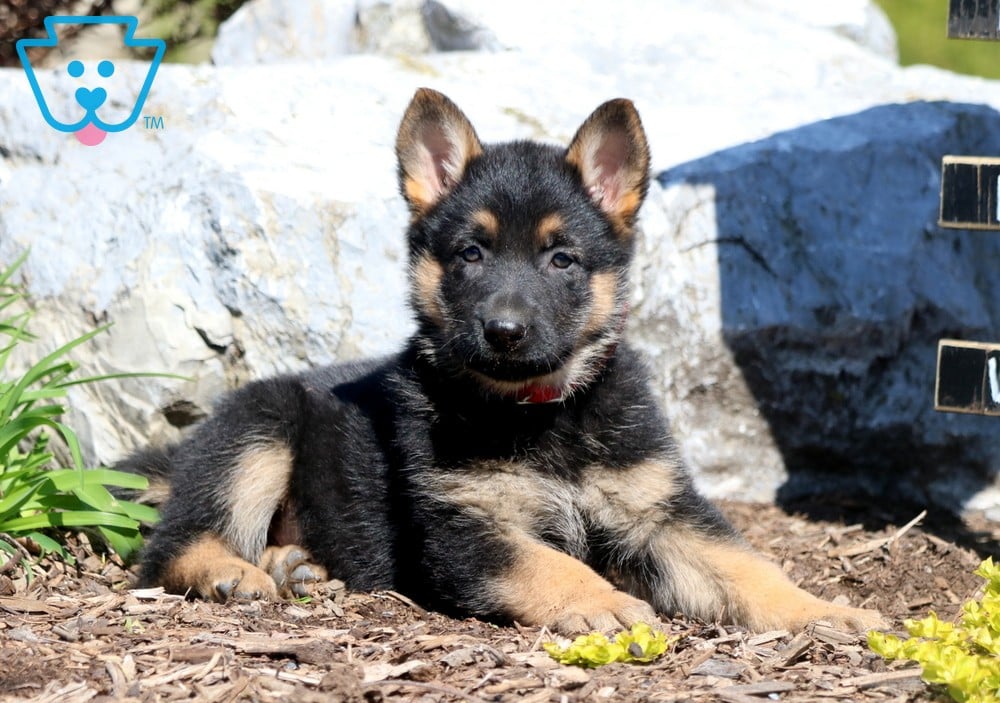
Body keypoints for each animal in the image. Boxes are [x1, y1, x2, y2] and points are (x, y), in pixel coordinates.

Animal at [123, 86, 884, 632]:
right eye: (471, 253)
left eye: (561, 259)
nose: (505, 330)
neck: (540, 411)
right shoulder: (465, 526)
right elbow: (547, 563)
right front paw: (605, 602)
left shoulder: (661, 511)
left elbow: (747, 566)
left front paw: (821, 609)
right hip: (261, 427)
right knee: (171, 545)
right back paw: (231, 572)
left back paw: (294, 563)